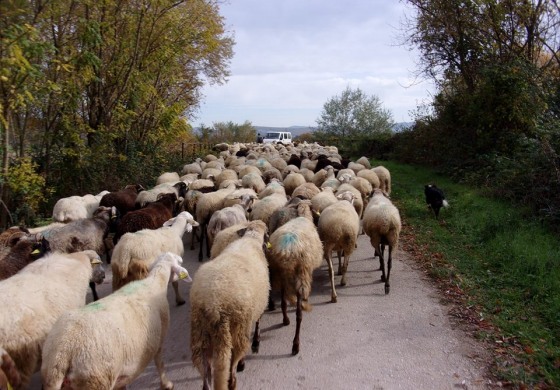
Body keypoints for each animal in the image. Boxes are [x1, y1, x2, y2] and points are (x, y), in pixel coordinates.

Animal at [40, 251, 191, 388]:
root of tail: (61, 355)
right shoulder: (159, 339)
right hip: (97, 379)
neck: (155, 282)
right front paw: (167, 384)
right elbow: (160, 362)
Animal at [189, 219, 270, 390]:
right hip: (238, 329)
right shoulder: (260, 303)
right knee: (232, 366)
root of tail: (215, 306)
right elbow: (258, 323)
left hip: (200, 335)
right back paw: (237, 372)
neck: (251, 238)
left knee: (206, 373)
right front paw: (256, 343)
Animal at [264, 201, 322, 356]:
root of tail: (287, 248)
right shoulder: (307, 270)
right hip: (300, 274)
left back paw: (284, 319)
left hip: (279, 271)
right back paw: (296, 345)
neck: (303, 215)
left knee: (283, 301)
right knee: (298, 314)